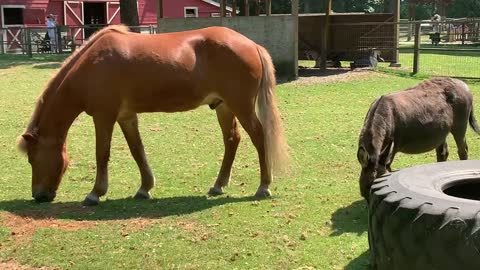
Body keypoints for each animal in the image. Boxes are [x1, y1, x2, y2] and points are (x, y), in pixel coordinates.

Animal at [16, 25, 288, 207]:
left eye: (32, 159)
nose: (39, 195)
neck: (93, 65)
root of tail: (251, 44)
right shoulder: (126, 116)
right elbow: (138, 150)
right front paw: (145, 188)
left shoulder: (104, 116)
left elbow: (102, 154)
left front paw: (95, 193)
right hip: (223, 107)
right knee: (232, 140)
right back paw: (218, 185)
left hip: (241, 106)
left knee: (259, 137)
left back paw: (264, 186)